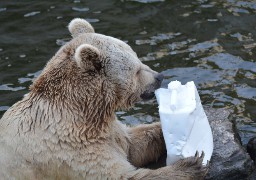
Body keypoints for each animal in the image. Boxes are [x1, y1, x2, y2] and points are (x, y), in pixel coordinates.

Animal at [0, 17, 206, 179]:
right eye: (136, 70)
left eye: (139, 59)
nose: (159, 77)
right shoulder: (70, 150)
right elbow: (120, 174)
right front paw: (191, 165)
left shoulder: (107, 130)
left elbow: (132, 143)